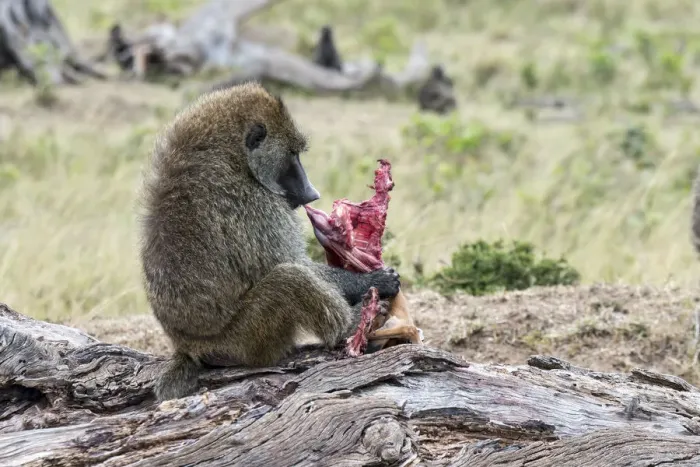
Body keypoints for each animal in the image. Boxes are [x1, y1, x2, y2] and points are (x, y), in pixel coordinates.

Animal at [139, 82, 401, 401]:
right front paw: (378, 280)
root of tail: (188, 348)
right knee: (289, 280)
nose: (312, 193)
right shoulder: (256, 202)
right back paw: (350, 326)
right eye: (293, 155)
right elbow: (295, 263)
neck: (229, 157)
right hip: (243, 341)